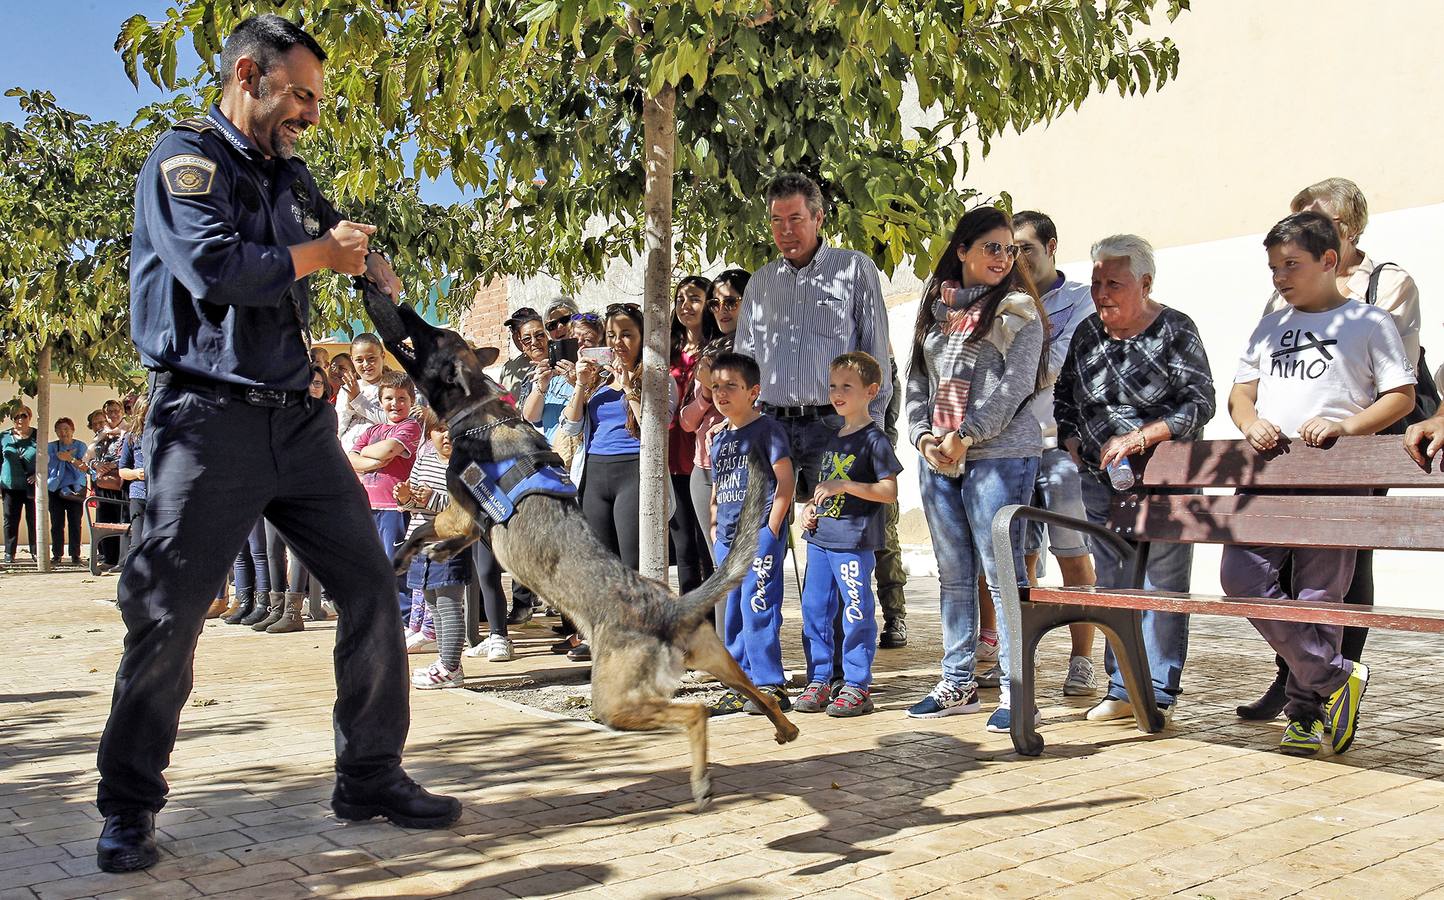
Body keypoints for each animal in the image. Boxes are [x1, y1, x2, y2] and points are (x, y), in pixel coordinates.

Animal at [366, 294, 802, 808]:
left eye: (430, 336)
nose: (404, 308)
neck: (480, 410)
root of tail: (671, 609)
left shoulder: (458, 511)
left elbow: (422, 532)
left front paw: (405, 554)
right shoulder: (471, 524)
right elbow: (447, 537)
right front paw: (425, 552)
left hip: (614, 701)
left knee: (695, 712)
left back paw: (702, 781)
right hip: (717, 660)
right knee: (760, 692)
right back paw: (785, 729)